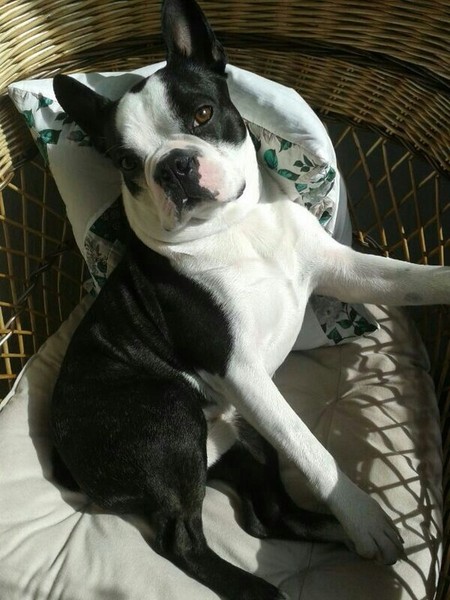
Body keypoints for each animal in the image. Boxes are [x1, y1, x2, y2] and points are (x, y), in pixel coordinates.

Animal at [51, 0, 450, 598]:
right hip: (172, 416)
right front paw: (365, 519)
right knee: (181, 540)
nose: (173, 165)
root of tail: (62, 455)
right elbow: (309, 445)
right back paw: (265, 584)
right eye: (125, 163)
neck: (237, 227)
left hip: (243, 437)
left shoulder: (344, 269)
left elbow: (409, 279)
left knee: (268, 515)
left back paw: (330, 534)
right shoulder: (241, 370)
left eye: (202, 114)